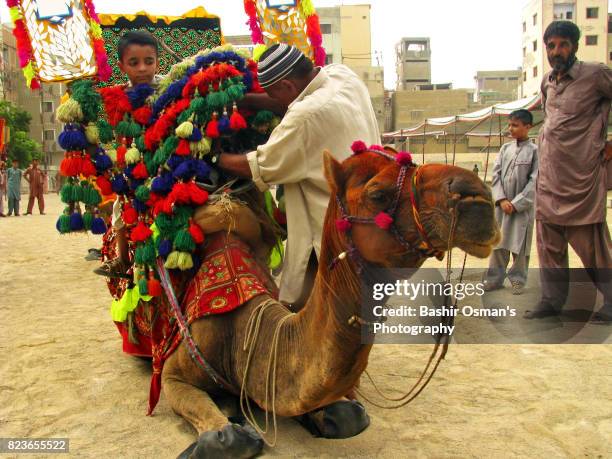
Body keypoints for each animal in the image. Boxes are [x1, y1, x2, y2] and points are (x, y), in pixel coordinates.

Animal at [163, 148, 502, 459]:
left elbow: (348, 415)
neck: (243, 336)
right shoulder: (174, 373)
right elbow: (227, 438)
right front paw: (225, 428)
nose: (478, 197)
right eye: (378, 194)